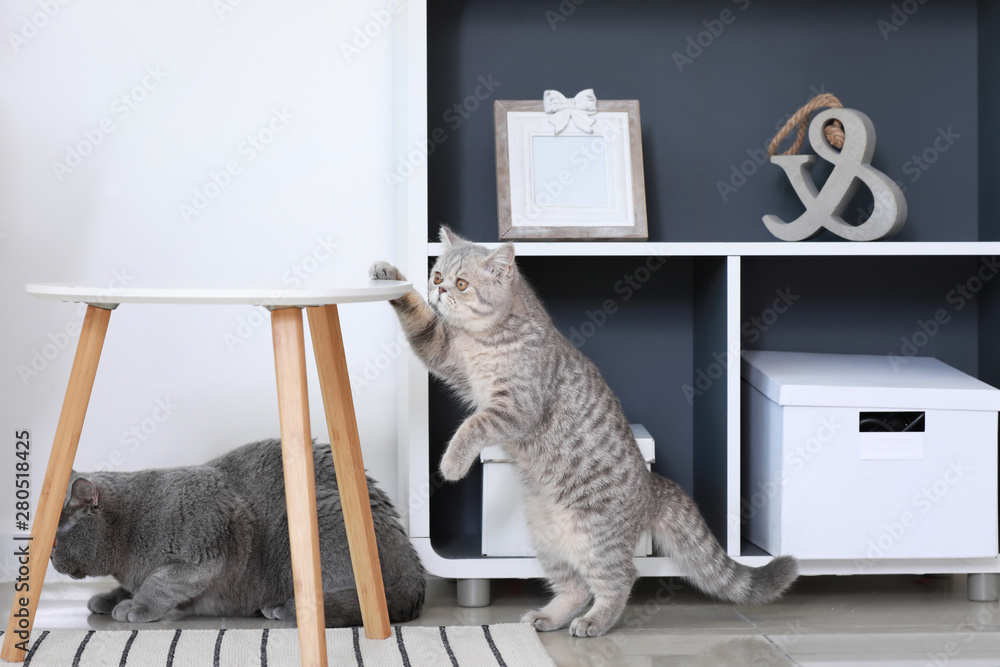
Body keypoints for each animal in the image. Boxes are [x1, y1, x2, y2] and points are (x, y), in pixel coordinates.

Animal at [51, 440, 426, 628]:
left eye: (54, 541)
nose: (50, 558)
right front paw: (109, 599)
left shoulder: (205, 549)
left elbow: (159, 583)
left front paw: (134, 607)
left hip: (317, 518)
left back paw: (279, 608)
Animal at [372, 228, 800, 636]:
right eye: (437, 276)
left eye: (461, 284)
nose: (440, 289)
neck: (483, 338)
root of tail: (653, 486)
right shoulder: (447, 356)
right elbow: (421, 322)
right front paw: (389, 277)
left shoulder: (517, 407)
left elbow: (472, 425)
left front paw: (452, 464)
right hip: (544, 536)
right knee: (574, 587)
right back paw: (550, 617)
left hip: (594, 535)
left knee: (620, 579)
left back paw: (595, 621)